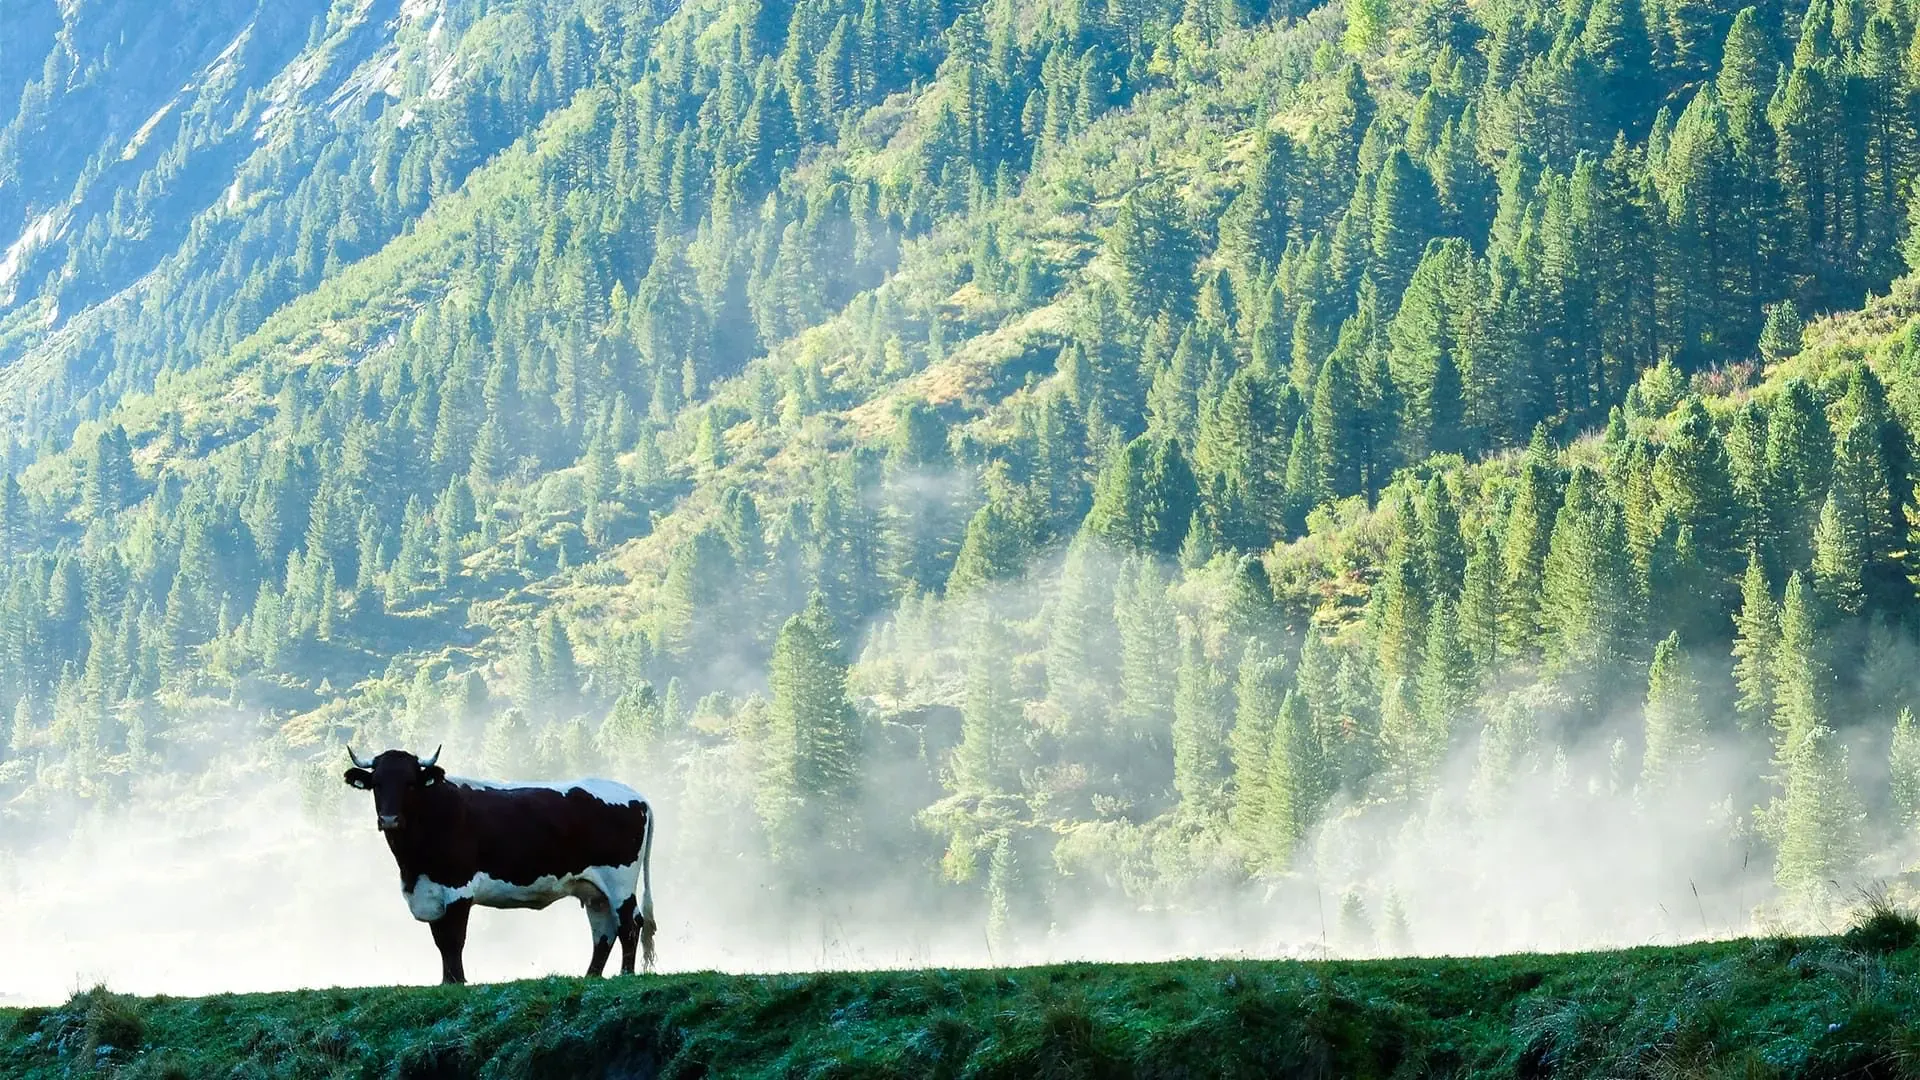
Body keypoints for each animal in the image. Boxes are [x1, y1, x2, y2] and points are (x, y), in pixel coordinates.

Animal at [342, 745, 656, 984]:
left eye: (410, 783)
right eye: (377, 784)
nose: (389, 820)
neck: (414, 867)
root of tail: (636, 796)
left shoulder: (458, 887)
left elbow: (453, 938)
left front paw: (458, 982)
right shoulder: (430, 890)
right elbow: (440, 939)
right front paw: (446, 981)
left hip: (620, 880)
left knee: (630, 924)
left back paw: (626, 975)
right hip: (594, 891)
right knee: (604, 932)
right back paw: (591, 976)